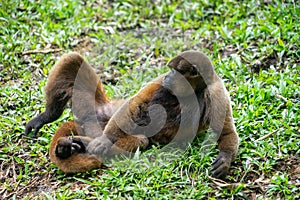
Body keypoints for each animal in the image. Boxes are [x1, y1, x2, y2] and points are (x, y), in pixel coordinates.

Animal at [24, 50, 238, 179]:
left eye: (176, 72)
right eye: (169, 71)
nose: (168, 77)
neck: (194, 89)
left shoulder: (216, 91)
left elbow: (225, 132)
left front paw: (225, 159)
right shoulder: (160, 81)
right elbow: (135, 103)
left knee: (141, 140)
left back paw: (74, 147)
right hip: (96, 110)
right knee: (73, 60)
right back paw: (49, 117)